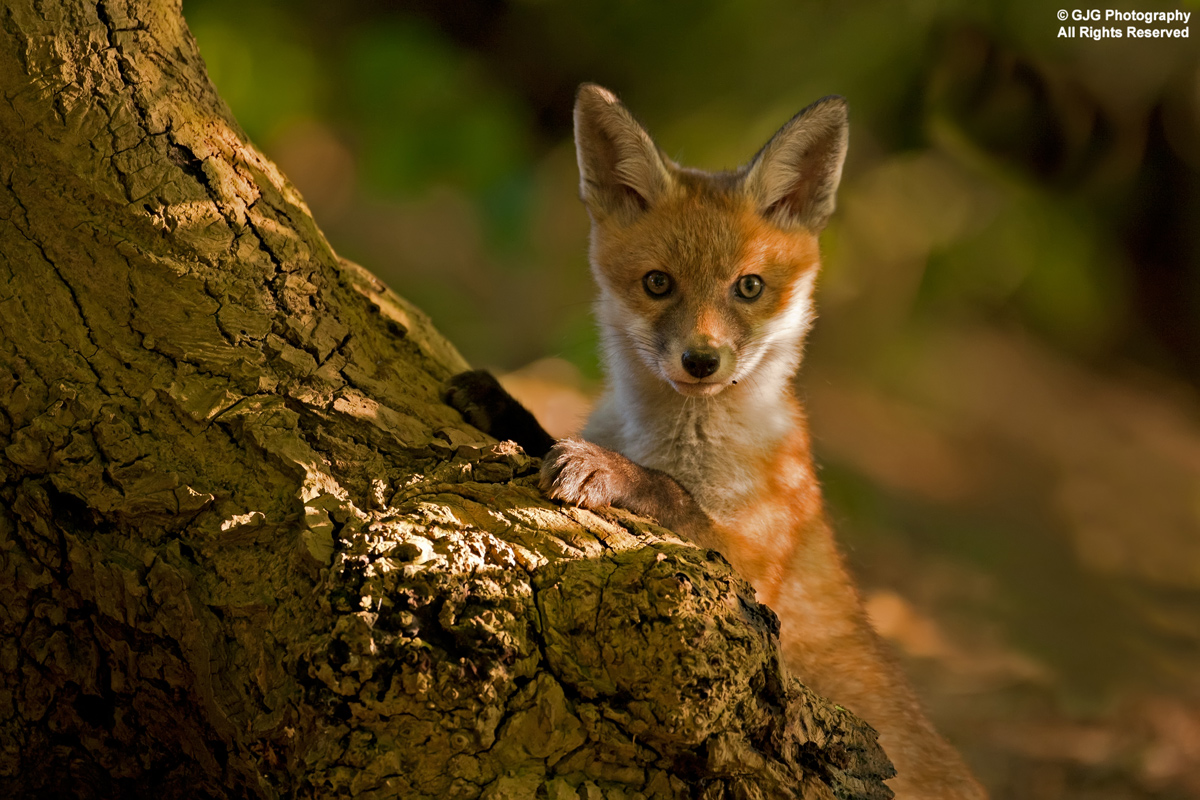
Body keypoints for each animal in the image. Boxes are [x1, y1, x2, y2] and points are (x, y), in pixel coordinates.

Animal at [446, 84, 987, 799]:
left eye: (749, 287)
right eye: (658, 283)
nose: (701, 361)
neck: (674, 438)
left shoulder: (753, 576)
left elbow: (674, 497)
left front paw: (610, 471)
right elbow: (543, 436)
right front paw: (501, 405)